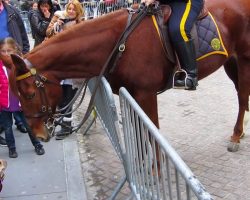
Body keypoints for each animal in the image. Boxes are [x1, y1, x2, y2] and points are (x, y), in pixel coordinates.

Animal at [2, 0, 250, 152]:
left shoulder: (146, 94)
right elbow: (140, 137)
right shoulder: (130, 96)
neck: (119, 42)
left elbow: (151, 135)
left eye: (30, 94)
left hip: (244, 59)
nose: (38, 135)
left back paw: (236, 135)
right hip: (230, 62)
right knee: (241, 94)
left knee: (242, 95)